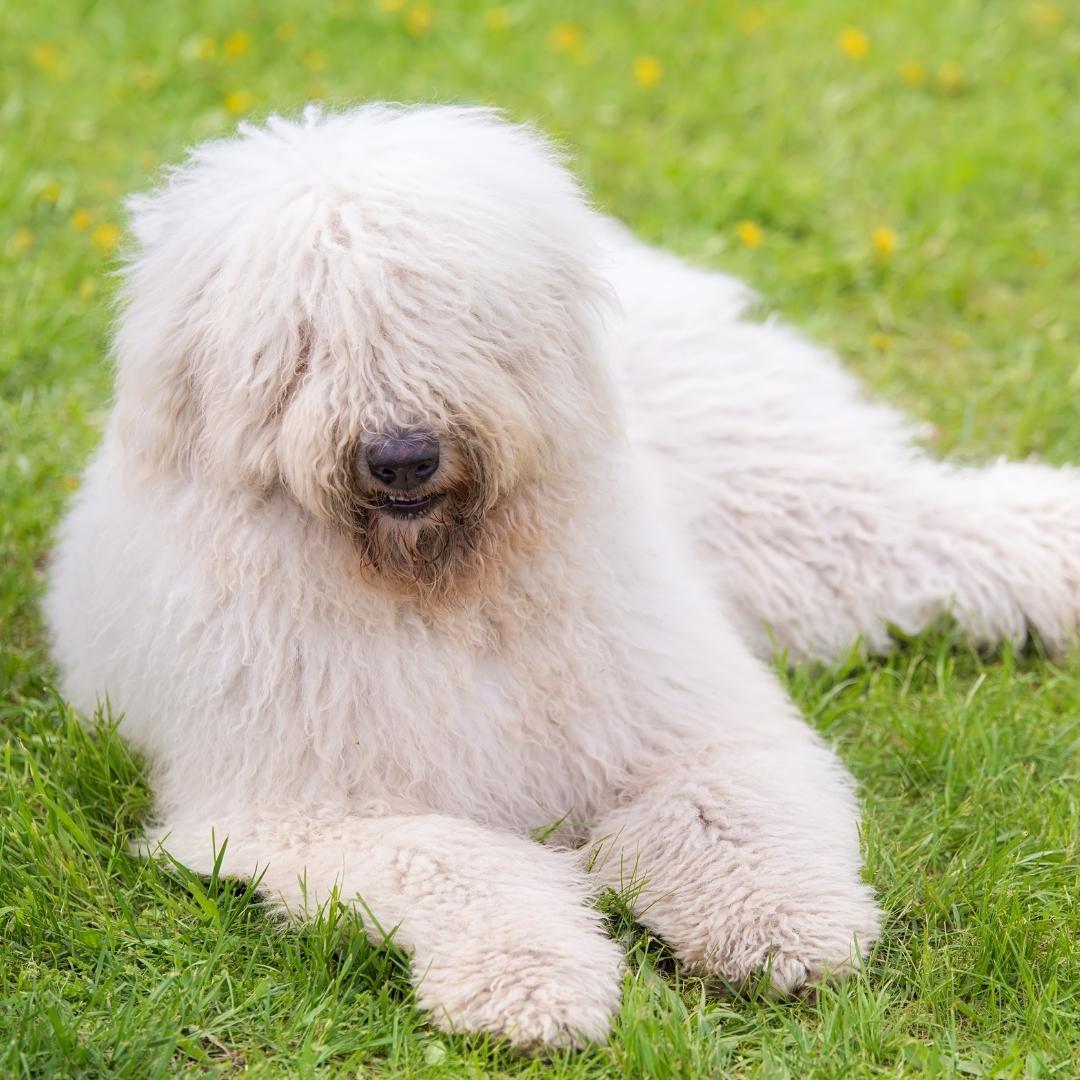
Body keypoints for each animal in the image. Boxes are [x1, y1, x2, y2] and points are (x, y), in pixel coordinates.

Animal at [46, 105, 1080, 1049]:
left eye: (442, 315)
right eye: (303, 340)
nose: (402, 456)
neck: (440, 594)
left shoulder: (686, 723)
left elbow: (726, 809)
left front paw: (785, 926)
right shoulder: (295, 811)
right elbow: (457, 864)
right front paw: (533, 985)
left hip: (801, 514)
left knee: (949, 527)